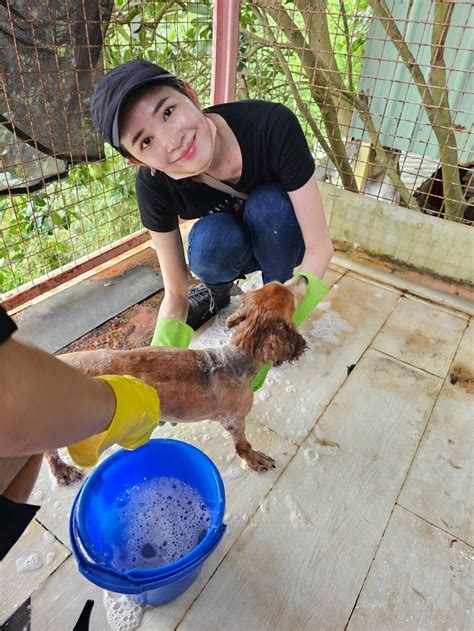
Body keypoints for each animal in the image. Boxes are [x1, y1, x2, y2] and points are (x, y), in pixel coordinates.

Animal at [54, 278, 308, 476]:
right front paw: (255, 459)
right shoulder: (234, 420)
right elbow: (242, 445)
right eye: (291, 298)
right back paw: (62, 471)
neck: (235, 360)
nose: (304, 277)